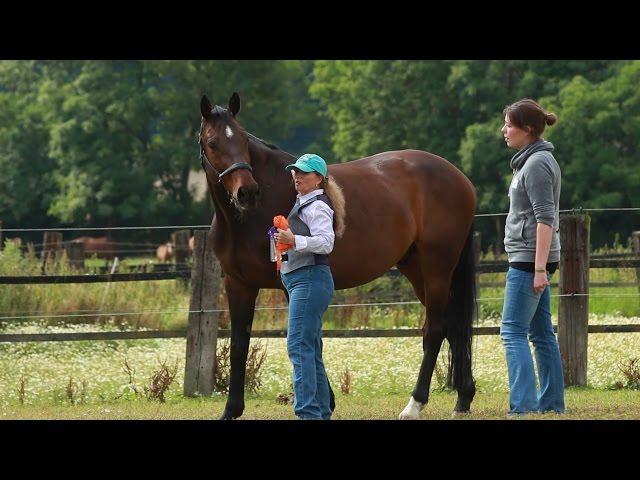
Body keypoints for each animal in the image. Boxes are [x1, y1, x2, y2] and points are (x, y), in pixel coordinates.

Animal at [199, 92, 476, 418]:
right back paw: (463, 398)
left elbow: (307, 339)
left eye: (243, 138)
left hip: (437, 269)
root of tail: (460, 178)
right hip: (418, 269)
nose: (247, 193)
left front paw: (324, 402)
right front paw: (231, 409)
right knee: (453, 326)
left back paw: (414, 404)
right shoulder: (238, 284)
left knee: (435, 330)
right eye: (213, 143)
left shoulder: (290, 283)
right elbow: (240, 344)